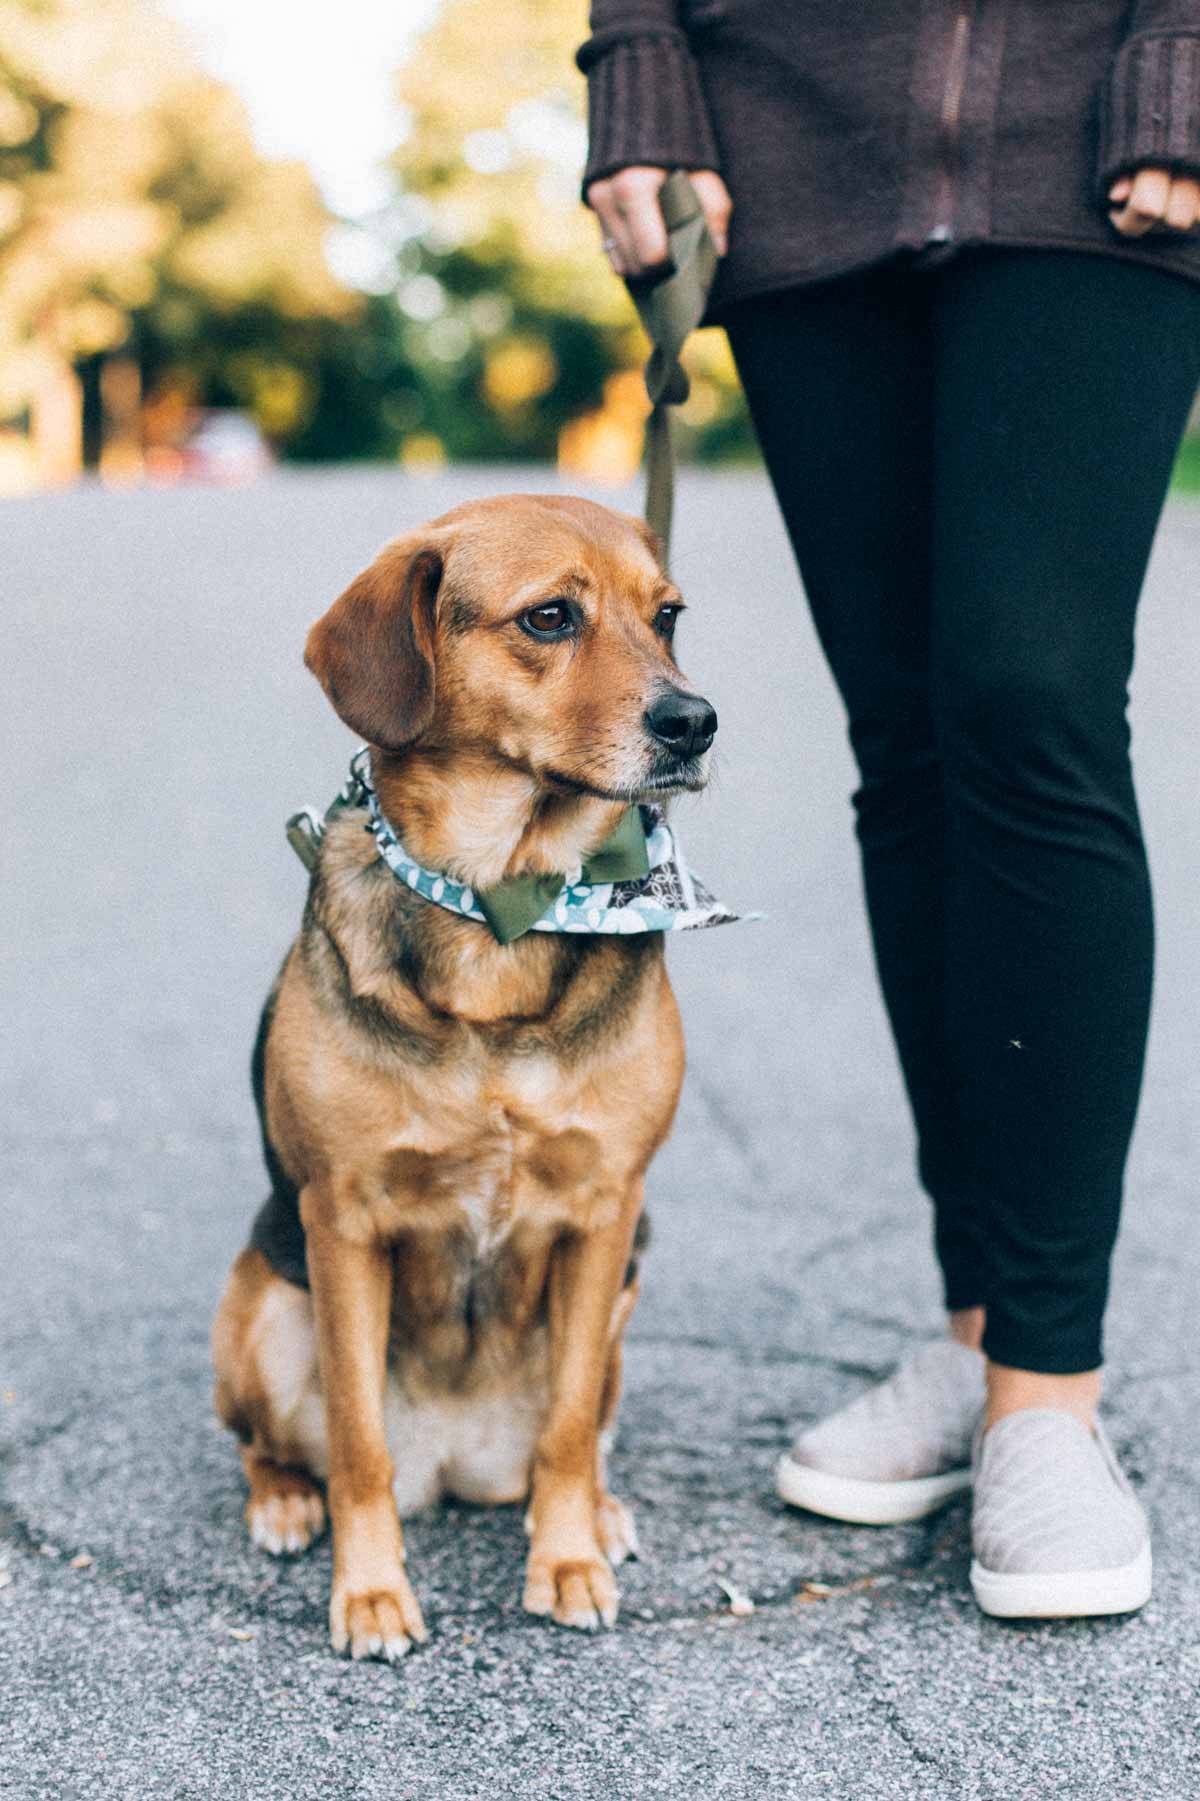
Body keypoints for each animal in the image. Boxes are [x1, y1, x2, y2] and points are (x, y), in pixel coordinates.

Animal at [209, 489, 713, 1656]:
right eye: (549, 617)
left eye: (667, 616)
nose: (695, 722)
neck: (500, 905)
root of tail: (452, 1464)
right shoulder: (342, 1220)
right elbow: (357, 1440)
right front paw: (371, 1591)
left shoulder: (607, 1211)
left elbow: (568, 1430)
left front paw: (564, 1561)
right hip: (258, 1304)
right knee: (279, 1446)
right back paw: (284, 1502)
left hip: (618, 1305)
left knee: (577, 1434)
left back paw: (597, 1513)